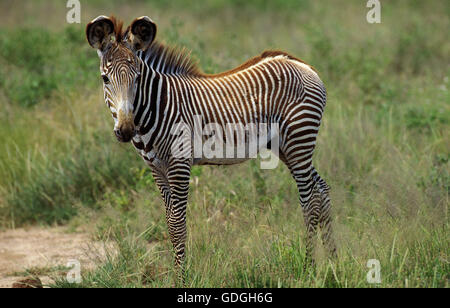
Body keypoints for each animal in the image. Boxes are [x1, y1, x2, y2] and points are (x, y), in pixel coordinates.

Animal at [85, 15, 338, 282]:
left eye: (137, 78)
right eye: (105, 78)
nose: (125, 130)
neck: (157, 106)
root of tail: (304, 66)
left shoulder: (179, 163)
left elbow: (178, 224)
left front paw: (181, 279)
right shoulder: (156, 168)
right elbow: (169, 221)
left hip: (299, 138)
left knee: (309, 201)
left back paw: (309, 268)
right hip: (286, 146)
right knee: (321, 189)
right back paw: (334, 262)